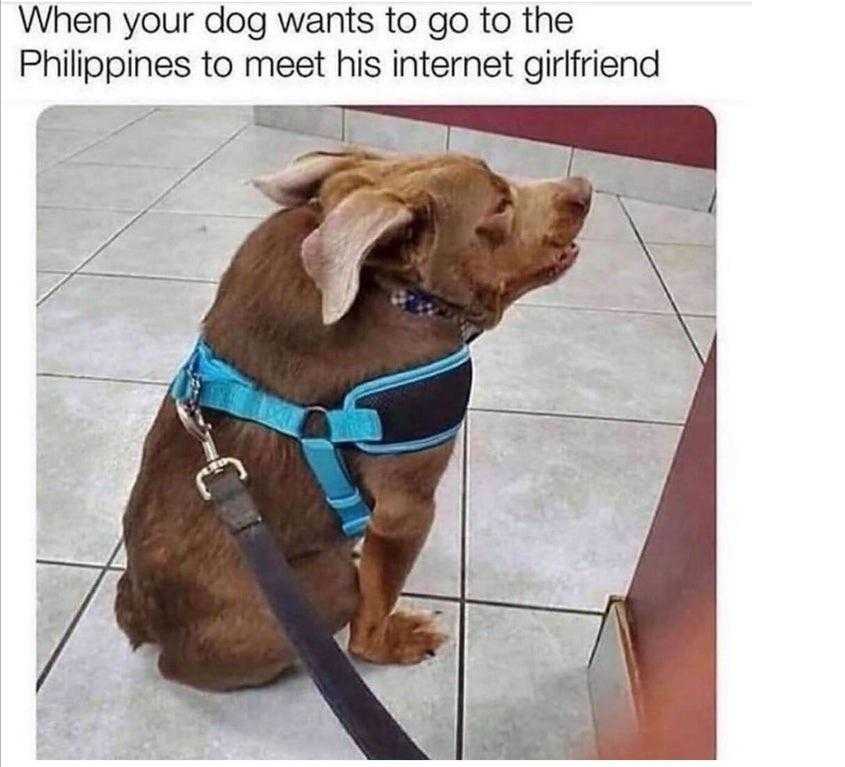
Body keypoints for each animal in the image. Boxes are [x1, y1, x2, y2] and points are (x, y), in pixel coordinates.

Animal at [115, 148, 592, 688]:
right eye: (499, 206)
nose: (583, 188)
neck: (393, 291)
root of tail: (141, 618)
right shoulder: (407, 508)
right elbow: (376, 608)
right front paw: (394, 641)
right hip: (324, 583)